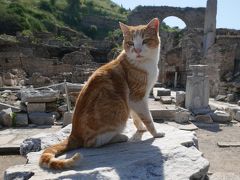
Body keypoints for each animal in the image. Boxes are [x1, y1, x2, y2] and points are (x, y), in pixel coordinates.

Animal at [39, 17, 165, 169]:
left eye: (145, 41)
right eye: (130, 43)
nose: (137, 50)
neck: (145, 63)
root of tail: (73, 134)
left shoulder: (135, 100)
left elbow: (136, 117)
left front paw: (140, 129)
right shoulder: (138, 98)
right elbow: (148, 118)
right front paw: (155, 133)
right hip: (119, 111)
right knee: (91, 143)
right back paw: (119, 137)